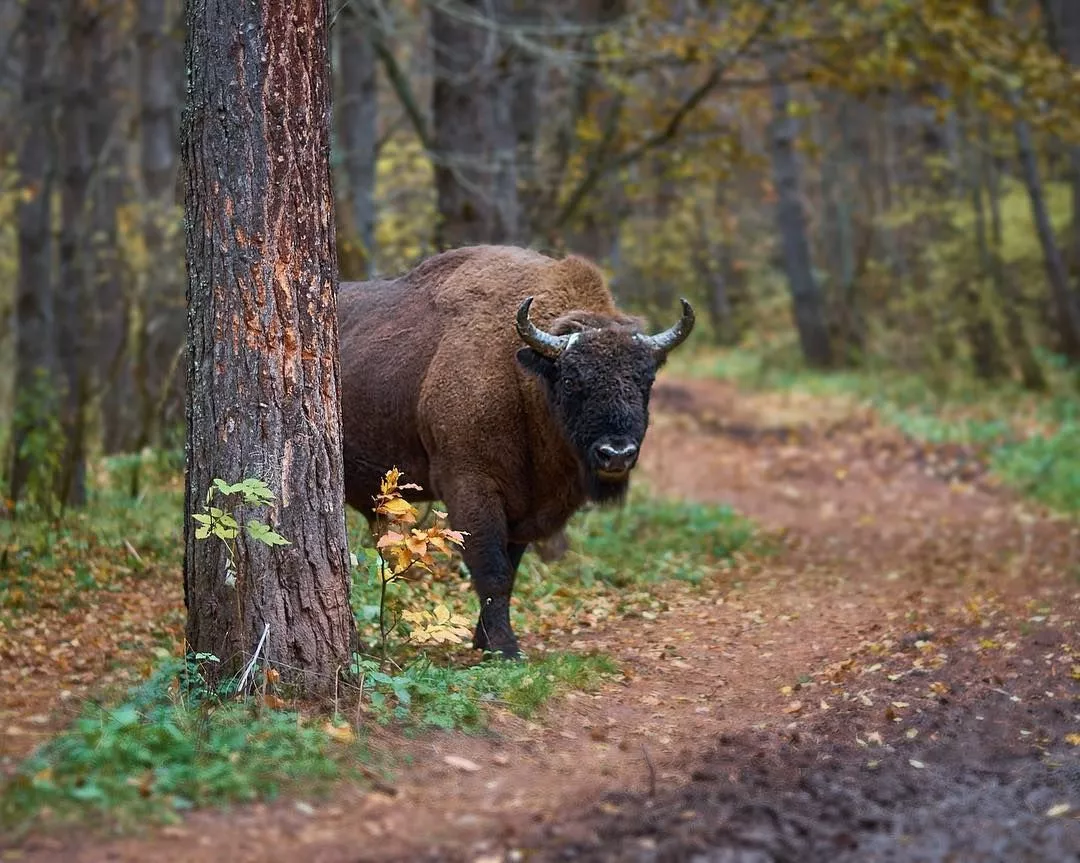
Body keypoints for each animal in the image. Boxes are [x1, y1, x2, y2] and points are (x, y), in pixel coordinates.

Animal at [336, 246, 695, 656]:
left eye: (646, 380)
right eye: (570, 380)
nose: (616, 454)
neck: (524, 376)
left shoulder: (527, 507)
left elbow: (510, 569)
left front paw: (486, 640)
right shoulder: (471, 486)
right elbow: (492, 569)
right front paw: (505, 647)